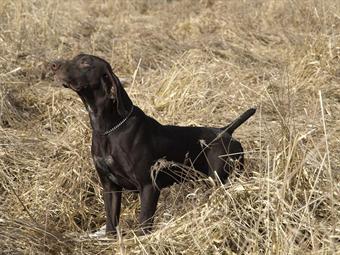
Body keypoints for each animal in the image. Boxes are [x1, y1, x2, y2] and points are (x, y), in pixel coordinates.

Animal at [50, 53, 255, 235]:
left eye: (85, 62)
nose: (53, 65)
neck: (109, 129)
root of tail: (226, 131)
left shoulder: (149, 186)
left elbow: (144, 224)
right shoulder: (110, 187)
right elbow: (111, 224)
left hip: (221, 179)